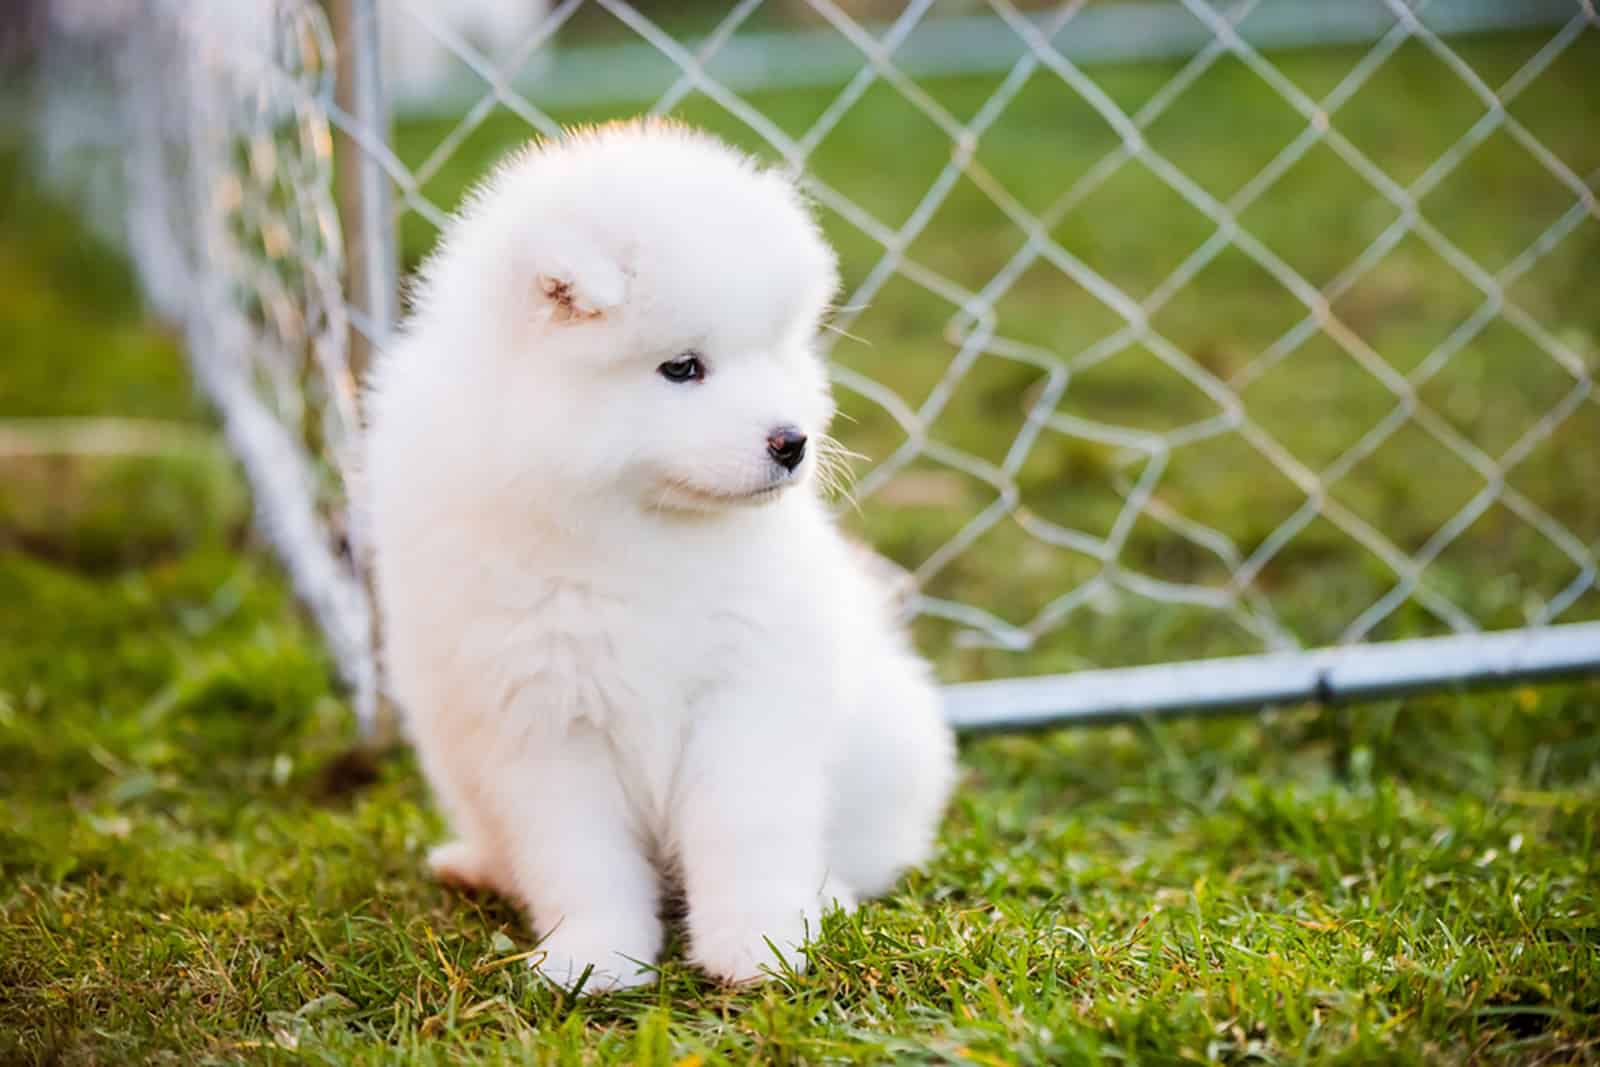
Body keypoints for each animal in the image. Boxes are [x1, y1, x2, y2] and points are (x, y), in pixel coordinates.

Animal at [368, 119, 953, 991]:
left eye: (774, 351)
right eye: (682, 367)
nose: (793, 442)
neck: (640, 536)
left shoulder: (744, 694)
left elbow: (745, 831)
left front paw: (758, 945)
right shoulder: (545, 717)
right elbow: (581, 858)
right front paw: (594, 958)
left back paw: (829, 895)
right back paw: (475, 863)